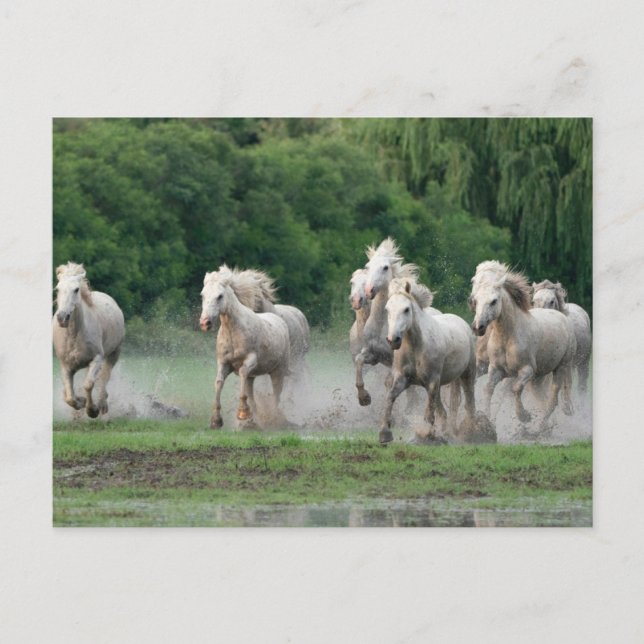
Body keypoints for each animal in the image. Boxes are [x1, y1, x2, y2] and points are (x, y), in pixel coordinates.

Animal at [52, 262, 125, 418]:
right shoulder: (66, 365)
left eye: (76, 289)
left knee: (104, 378)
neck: (74, 336)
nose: (62, 318)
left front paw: (92, 410)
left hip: (114, 354)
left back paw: (102, 404)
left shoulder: (97, 359)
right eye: (58, 288)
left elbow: (88, 385)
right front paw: (81, 401)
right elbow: (69, 397)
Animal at [199, 270, 291, 429]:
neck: (232, 331)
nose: (205, 323)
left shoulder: (250, 360)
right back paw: (254, 421)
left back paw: (273, 420)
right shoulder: (223, 363)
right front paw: (216, 420)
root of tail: (280, 320)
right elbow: (218, 382)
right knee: (251, 392)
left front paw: (242, 413)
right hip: (252, 376)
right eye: (203, 295)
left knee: (276, 395)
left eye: (220, 296)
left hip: (278, 371)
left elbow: (241, 372)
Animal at [380, 278, 485, 445]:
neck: (416, 347)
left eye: (406, 309)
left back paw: (470, 433)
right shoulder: (402, 379)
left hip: (467, 374)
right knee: (445, 409)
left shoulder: (432, 382)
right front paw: (385, 434)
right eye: (387, 309)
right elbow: (390, 398)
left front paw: (425, 436)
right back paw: (447, 432)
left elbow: (429, 412)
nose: (393, 340)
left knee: (469, 403)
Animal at [470, 263, 576, 432]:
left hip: (561, 367)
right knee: (543, 397)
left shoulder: (527, 370)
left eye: (494, 301)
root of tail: (562, 316)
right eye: (477, 300)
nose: (478, 327)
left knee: (553, 398)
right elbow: (488, 389)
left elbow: (516, 388)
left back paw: (541, 426)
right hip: (539, 377)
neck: (507, 337)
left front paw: (524, 416)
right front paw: (486, 420)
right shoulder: (495, 369)